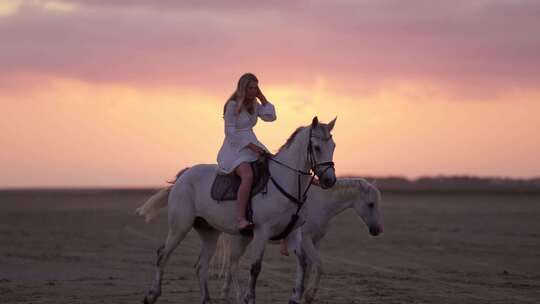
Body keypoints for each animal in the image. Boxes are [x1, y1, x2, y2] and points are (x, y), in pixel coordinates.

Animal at [136, 117, 338, 304]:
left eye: (333, 146)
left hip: (209, 232)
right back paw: (151, 295)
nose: (330, 180)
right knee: (163, 255)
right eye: (317, 147)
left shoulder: (293, 233)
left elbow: (302, 262)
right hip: (180, 228)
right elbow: (255, 268)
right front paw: (250, 298)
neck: (285, 183)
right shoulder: (262, 232)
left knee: (201, 265)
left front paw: (295, 298)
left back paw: (206, 300)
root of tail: (184, 175)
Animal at [217, 177, 382, 302]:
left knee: (231, 264)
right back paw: (234, 295)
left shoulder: (316, 242)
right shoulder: (306, 241)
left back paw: (225, 293)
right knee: (232, 264)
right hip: (239, 240)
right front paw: (308, 295)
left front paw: (300, 294)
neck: (321, 203)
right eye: (371, 204)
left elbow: (308, 268)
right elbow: (319, 265)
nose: (377, 230)